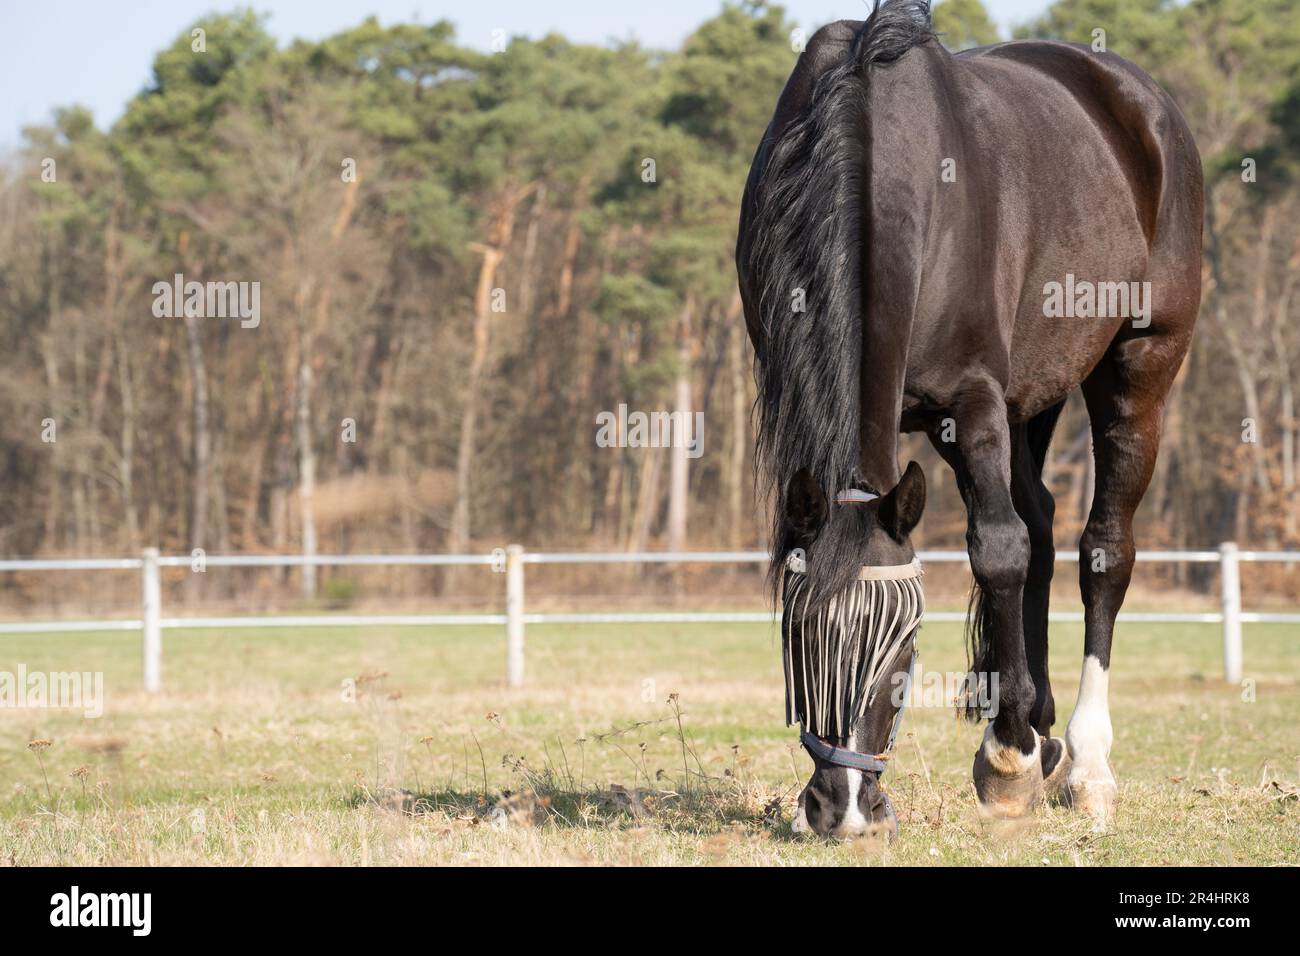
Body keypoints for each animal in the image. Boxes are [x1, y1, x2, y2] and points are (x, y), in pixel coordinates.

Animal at [738, 0, 1201, 837]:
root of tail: (1139, 101)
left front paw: (1007, 760)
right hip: (1032, 396)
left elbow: (998, 550)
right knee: (1043, 523)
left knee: (1101, 551)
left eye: (906, 643)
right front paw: (1018, 738)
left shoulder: (974, 401)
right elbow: (1016, 544)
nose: (843, 808)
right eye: (797, 632)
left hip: (1140, 367)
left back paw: (1084, 763)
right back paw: (1042, 733)